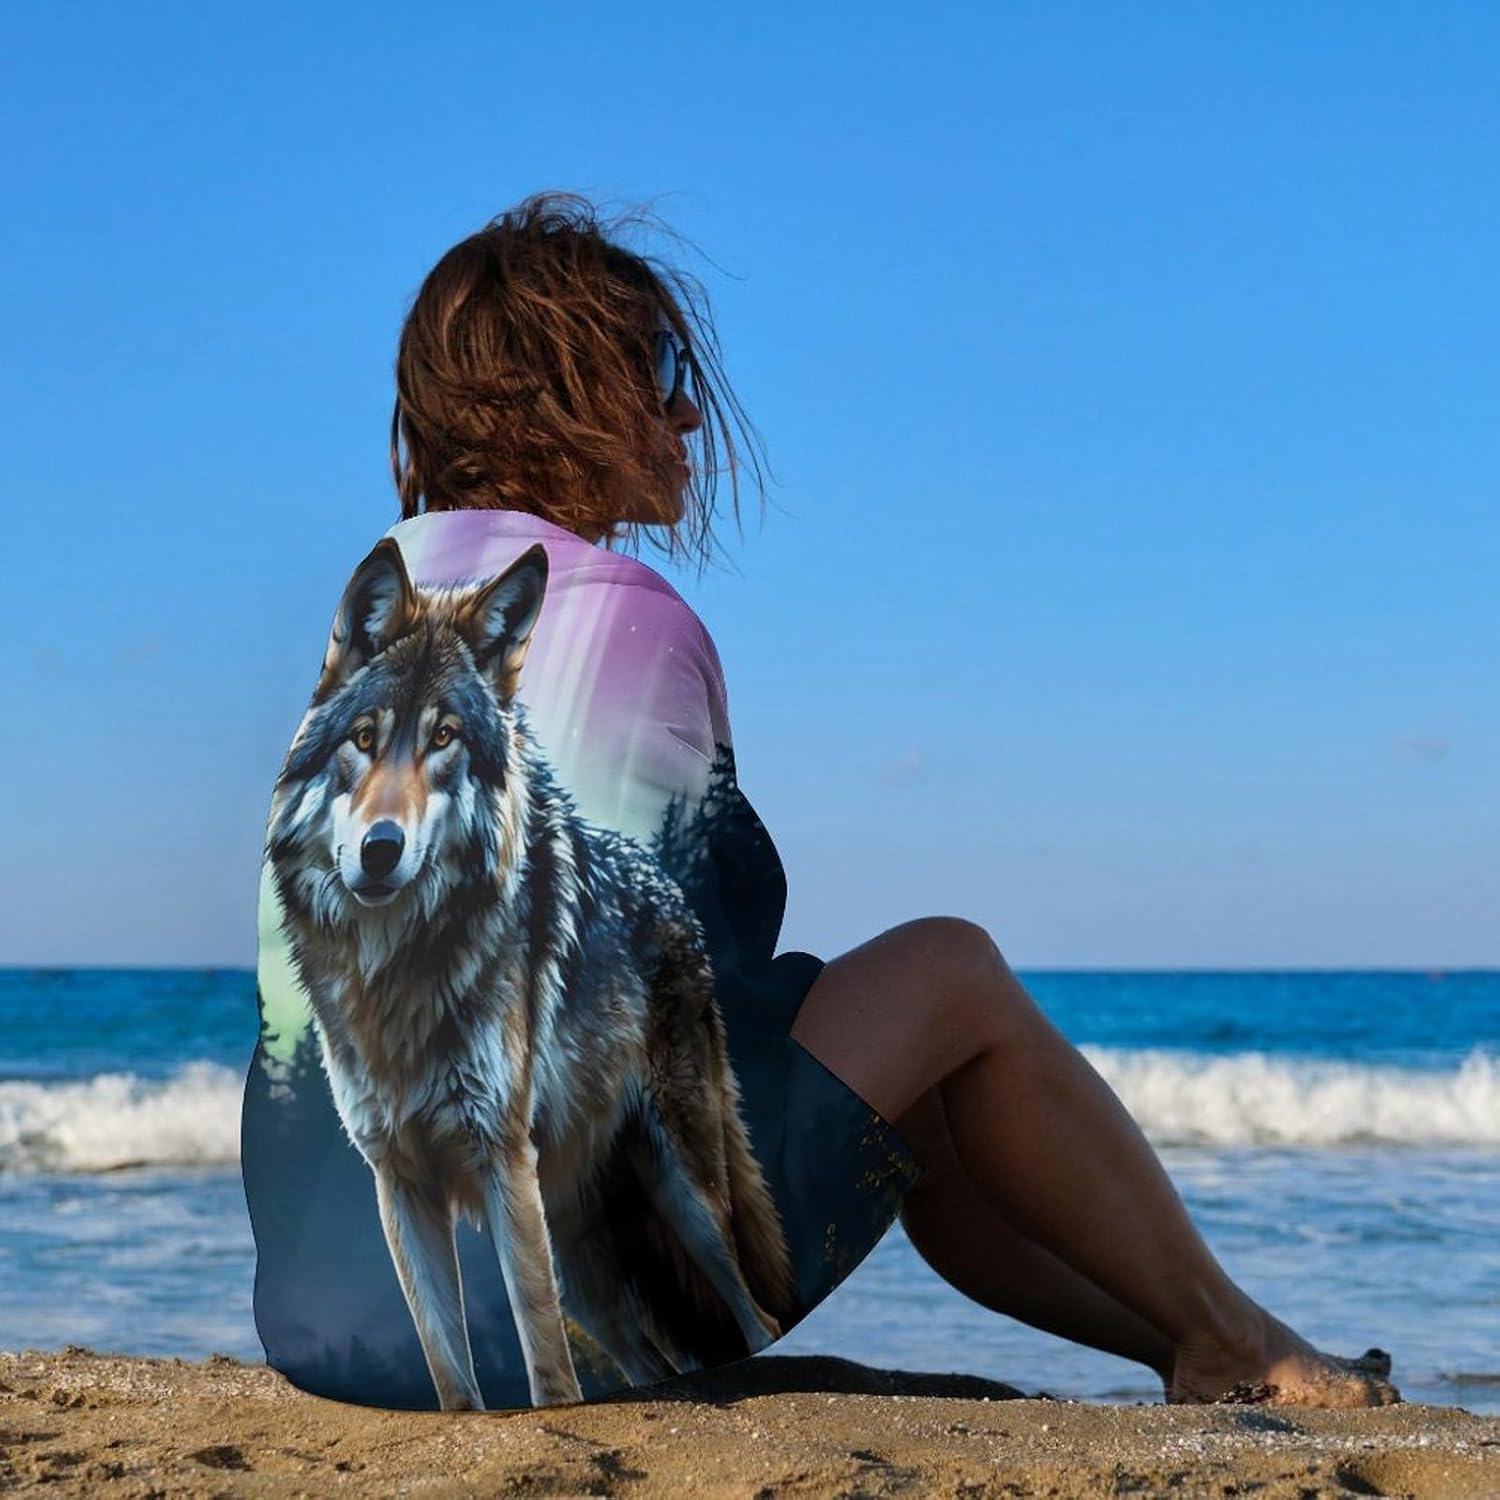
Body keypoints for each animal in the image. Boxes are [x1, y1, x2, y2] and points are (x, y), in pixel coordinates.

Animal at [263, 537, 796, 1410]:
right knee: (662, 1362)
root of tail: (677, 900)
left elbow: (547, 1369)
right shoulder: (400, 1181)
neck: (396, 972)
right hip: (587, 1266)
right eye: (365, 739)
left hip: (683, 1200)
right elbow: (450, 1369)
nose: (380, 850)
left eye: (445, 738)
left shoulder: (501, 1159)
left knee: (759, 1320)